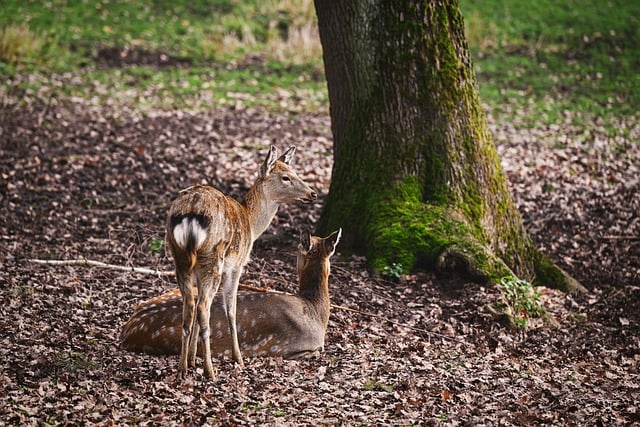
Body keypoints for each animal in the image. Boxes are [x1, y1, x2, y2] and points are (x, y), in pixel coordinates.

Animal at [165, 147, 316, 382]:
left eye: (295, 172)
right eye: (285, 177)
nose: (312, 193)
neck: (251, 221)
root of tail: (191, 210)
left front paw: (191, 358)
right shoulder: (237, 265)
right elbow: (231, 310)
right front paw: (238, 358)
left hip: (179, 257)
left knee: (190, 305)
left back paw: (182, 368)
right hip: (214, 257)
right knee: (203, 307)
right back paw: (210, 371)